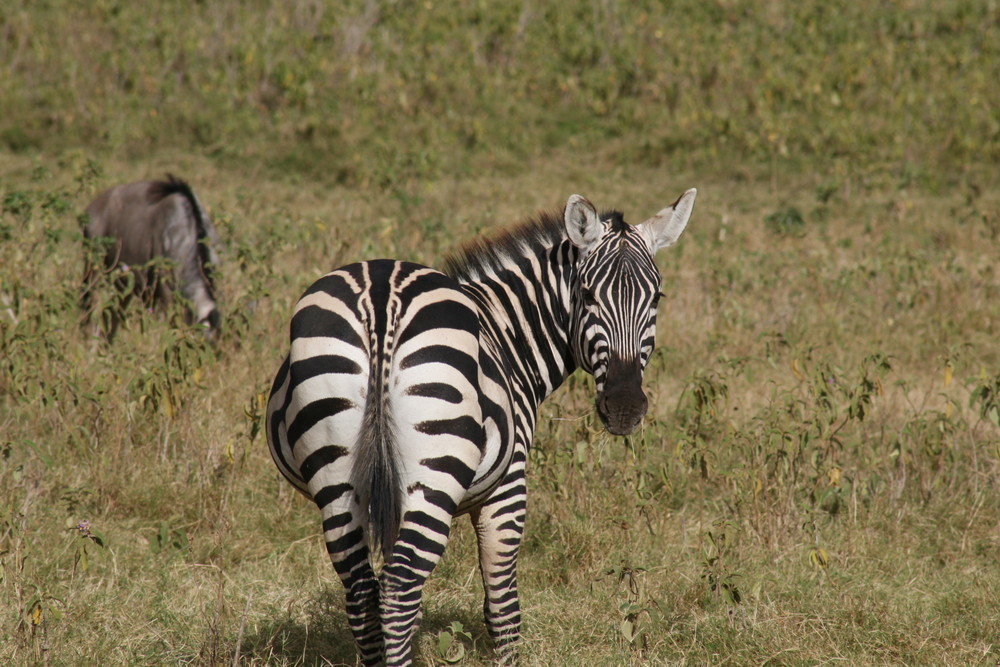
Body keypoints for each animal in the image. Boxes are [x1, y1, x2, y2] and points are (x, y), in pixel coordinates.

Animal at [270, 189, 700, 667]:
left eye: (657, 298)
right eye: (587, 295)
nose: (624, 408)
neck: (509, 334)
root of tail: (382, 301)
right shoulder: (507, 484)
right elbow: (503, 607)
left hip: (339, 481)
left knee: (364, 591)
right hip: (434, 471)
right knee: (399, 591)